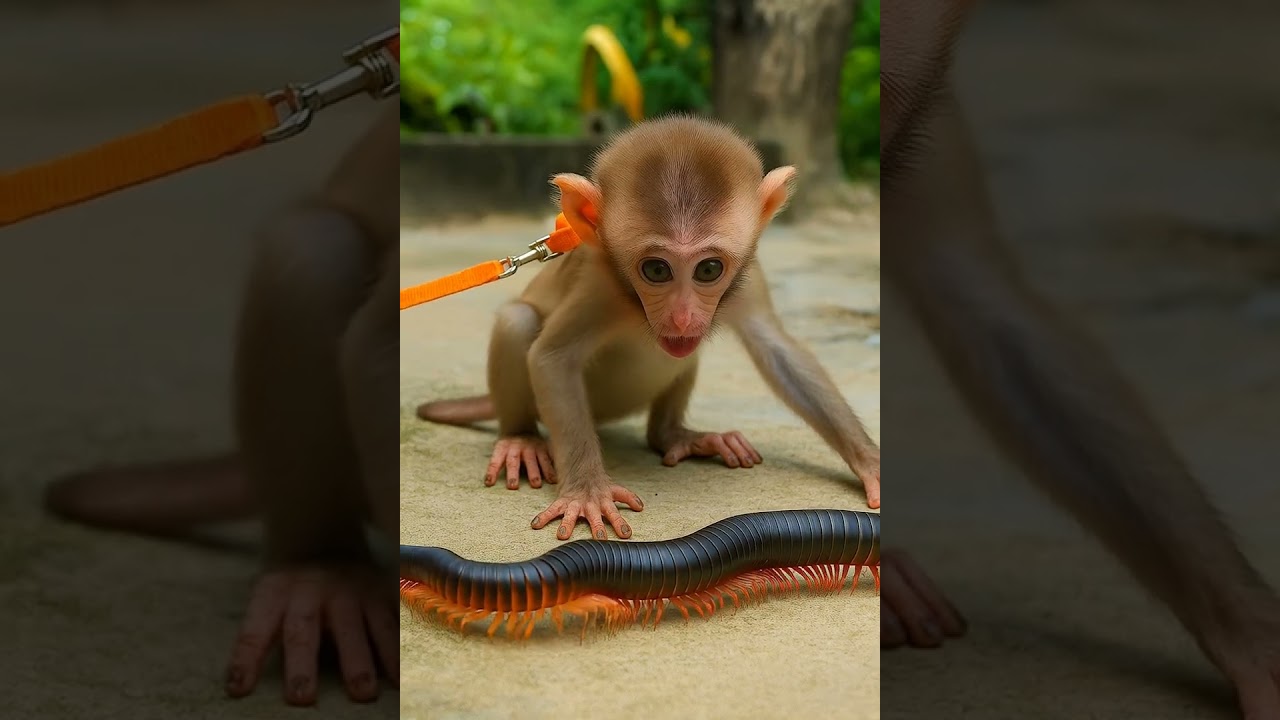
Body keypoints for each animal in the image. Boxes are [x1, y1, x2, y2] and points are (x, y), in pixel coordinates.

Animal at [416, 115, 882, 542]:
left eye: (709, 269)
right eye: (656, 270)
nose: (682, 317)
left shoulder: (747, 277)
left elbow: (778, 350)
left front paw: (871, 462)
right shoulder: (601, 283)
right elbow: (553, 358)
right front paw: (587, 493)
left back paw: (676, 435)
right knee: (518, 319)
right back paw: (521, 440)